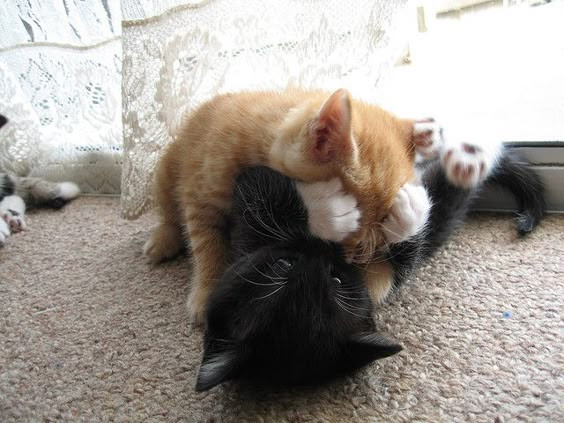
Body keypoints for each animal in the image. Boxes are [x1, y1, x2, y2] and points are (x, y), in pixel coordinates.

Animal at [145, 89, 432, 322]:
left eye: (360, 255)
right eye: (348, 246)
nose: (350, 261)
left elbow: (377, 281)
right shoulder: (200, 195)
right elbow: (208, 245)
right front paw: (206, 293)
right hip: (166, 172)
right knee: (169, 211)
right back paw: (163, 239)